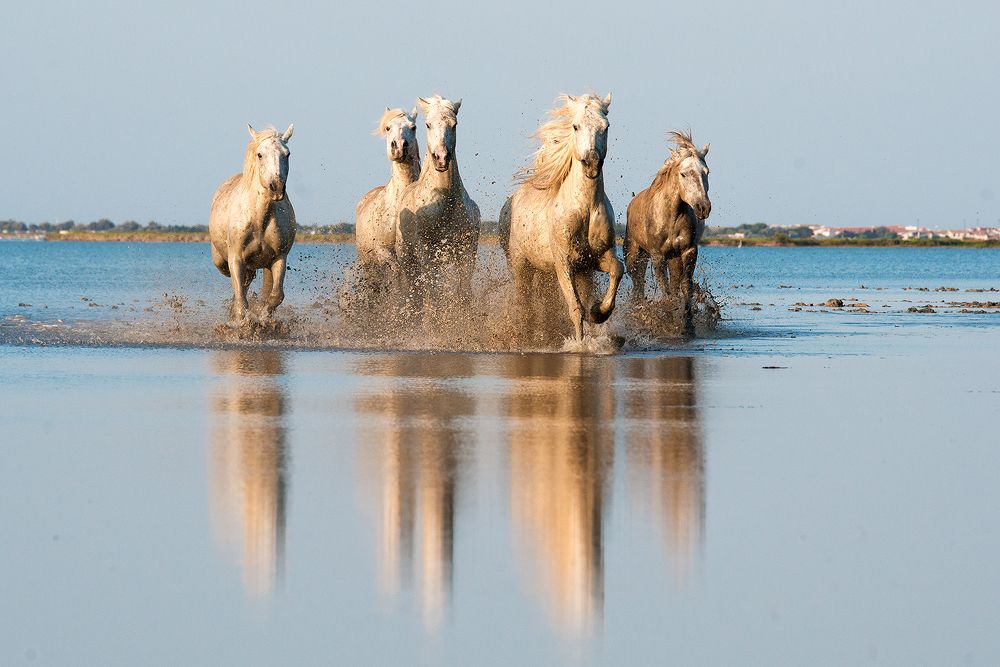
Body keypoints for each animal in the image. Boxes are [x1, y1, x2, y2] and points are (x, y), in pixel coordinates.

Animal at [209, 124, 297, 324]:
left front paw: (263, 319)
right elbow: (241, 301)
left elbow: (275, 296)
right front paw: (244, 323)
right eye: (260, 154)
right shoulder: (236, 259)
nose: (276, 188)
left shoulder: (279, 258)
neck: (259, 221)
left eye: (287, 154)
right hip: (222, 261)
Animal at [355, 107, 420, 287]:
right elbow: (396, 274)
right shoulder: (383, 251)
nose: (399, 147)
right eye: (388, 128)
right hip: (369, 264)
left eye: (413, 127)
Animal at [396, 95, 480, 306]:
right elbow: (431, 293)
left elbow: (464, 292)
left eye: (454, 124)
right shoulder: (426, 251)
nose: (441, 158)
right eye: (428, 124)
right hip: (407, 257)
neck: (445, 205)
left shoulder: (466, 252)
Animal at [499, 93, 623, 343]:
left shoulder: (595, 260)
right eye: (575, 126)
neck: (585, 209)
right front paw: (580, 344)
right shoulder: (565, 264)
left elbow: (617, 269)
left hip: (557, 272)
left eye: (605, 126)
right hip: (520, 264)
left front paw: (599, 312)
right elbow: (575, 307)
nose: (591, 163)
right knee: (525, 303)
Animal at [623, 131, 711, 331]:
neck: (671, 217)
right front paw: (668, 320)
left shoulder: (688, 252)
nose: (703, 208)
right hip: (636, 255)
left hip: (674, 258)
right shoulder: (657, 256)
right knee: (637, 283)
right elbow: (665, 289)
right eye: (683, 174)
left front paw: (687, 324)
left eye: (706, 172)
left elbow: (685, 287)